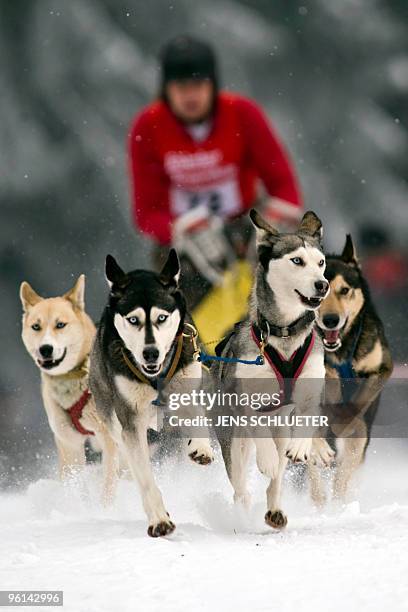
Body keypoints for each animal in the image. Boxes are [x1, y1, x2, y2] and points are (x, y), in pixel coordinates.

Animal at [89, 249, 214, 536]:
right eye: (133, 319)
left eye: (161, 318)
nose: (151, 353)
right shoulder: (130, 420)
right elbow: (145, 478)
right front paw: (159, 519)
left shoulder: (189, 382)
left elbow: (197, 416)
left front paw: (201, 446)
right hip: (111, 416)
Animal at [214, 209, 334, 524]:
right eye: (297, 261)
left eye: (321, 262)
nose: (322, 285)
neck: (284, 333)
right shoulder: (246, 399)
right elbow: (257, 423)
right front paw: (265, 458)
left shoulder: (309, 392)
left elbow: (307, 419)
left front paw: (302, 448)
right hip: (233, 441)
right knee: (240, 485)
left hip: (279, 430)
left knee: (277, 478)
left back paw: (275, 509)